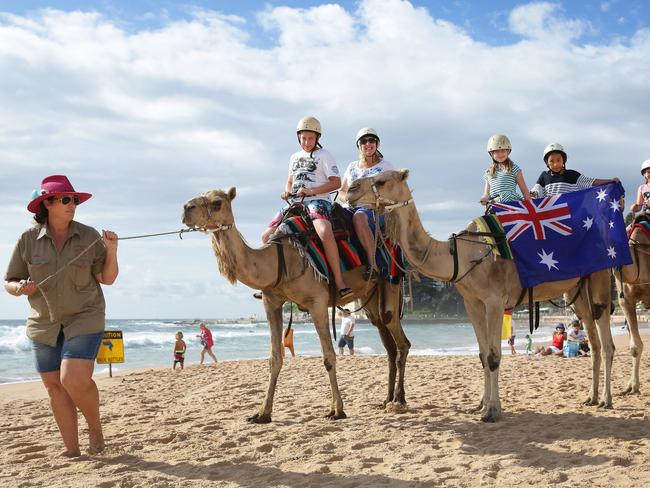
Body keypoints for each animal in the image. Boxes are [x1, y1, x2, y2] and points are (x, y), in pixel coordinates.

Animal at [180, 187, 408, 424]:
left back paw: (399, 400)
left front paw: (337, 410)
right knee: (386, 337)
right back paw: (386, 400)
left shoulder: (317, 302)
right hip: (370, 295)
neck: (278, 260)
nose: (187, 208)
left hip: (390, 279)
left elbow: (328, 357)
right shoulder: (271, 302)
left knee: (399, 337)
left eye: (217, 202)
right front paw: (263, 413)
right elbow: (274, 358)